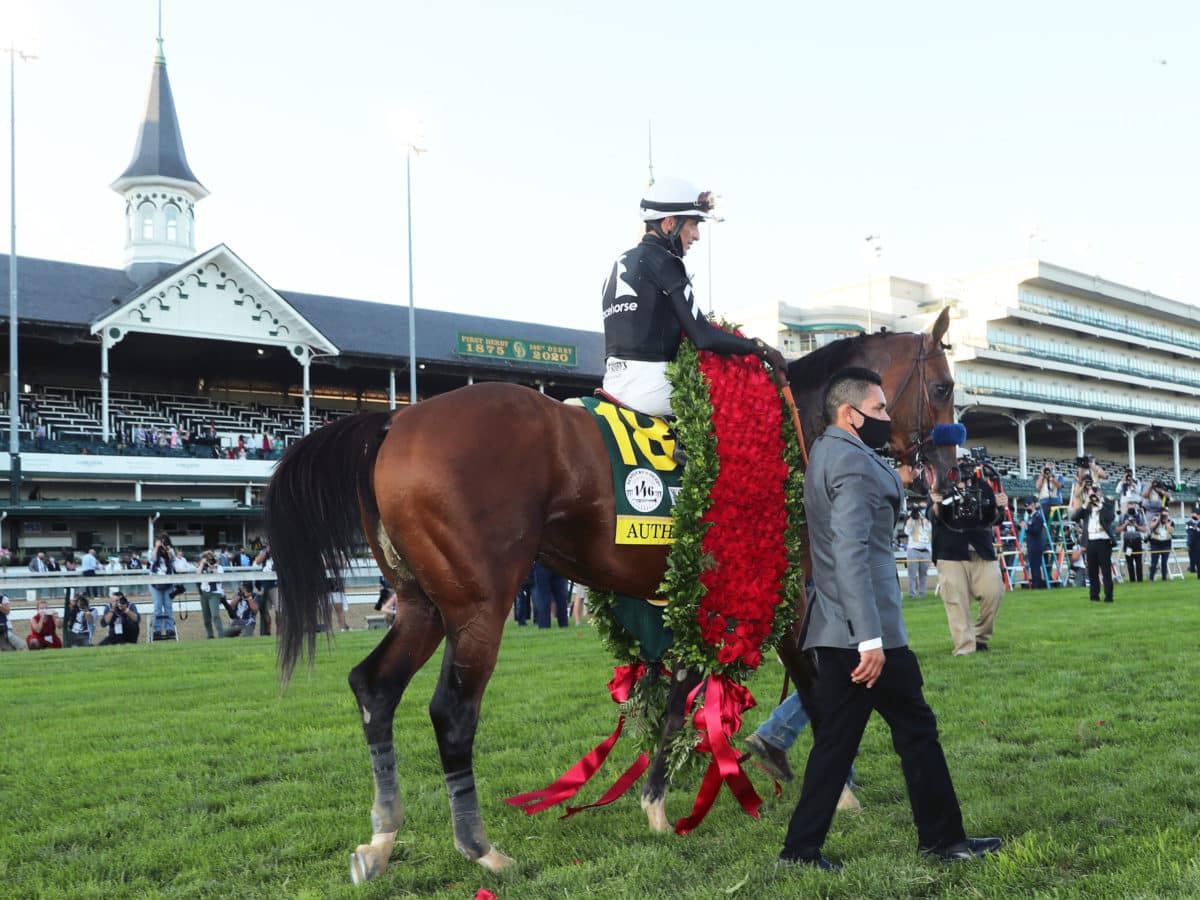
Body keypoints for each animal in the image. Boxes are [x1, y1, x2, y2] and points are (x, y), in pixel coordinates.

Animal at [267, 307, 960, 883]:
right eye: (946, 388)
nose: (947, 479)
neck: (790, 435)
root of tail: (397, 417)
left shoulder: (695, 600)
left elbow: (681, 691)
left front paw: (656, 802)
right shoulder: (792, 594)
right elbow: (818, 689)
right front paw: (837, 788)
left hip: (422, 605)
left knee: (374, 687)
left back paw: (382, 840)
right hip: (478, 606)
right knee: (452, 711)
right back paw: (481, 849)